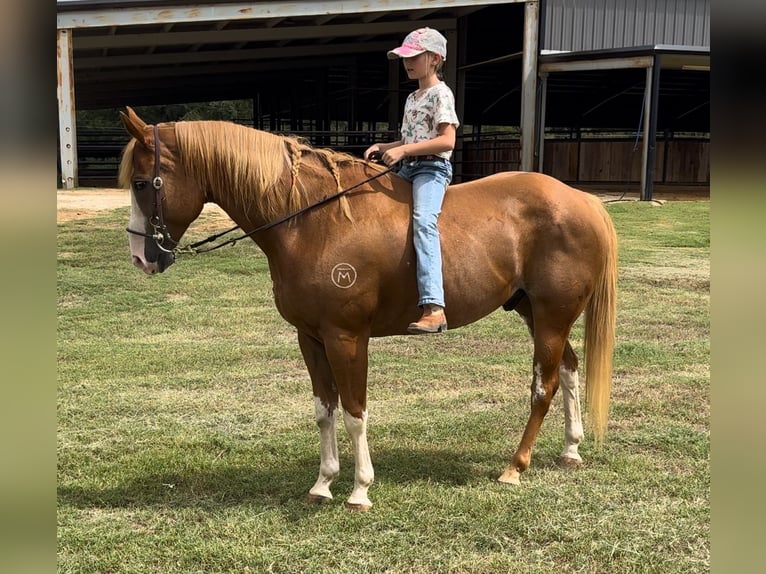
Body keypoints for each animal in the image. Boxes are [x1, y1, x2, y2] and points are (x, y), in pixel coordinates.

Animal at [118, 106, 616, 510]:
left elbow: (355, 412)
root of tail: (582, 200)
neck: (312, 220)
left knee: (543, 386)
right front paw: (322, 485)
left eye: (143, 183)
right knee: (569, 369)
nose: (142, 258)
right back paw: (570, 450)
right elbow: (324, 410)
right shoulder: (311, 338)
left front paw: (359, 490)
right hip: (536, 314)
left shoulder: (346, 337)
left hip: (551, 317)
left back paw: (515, 466)